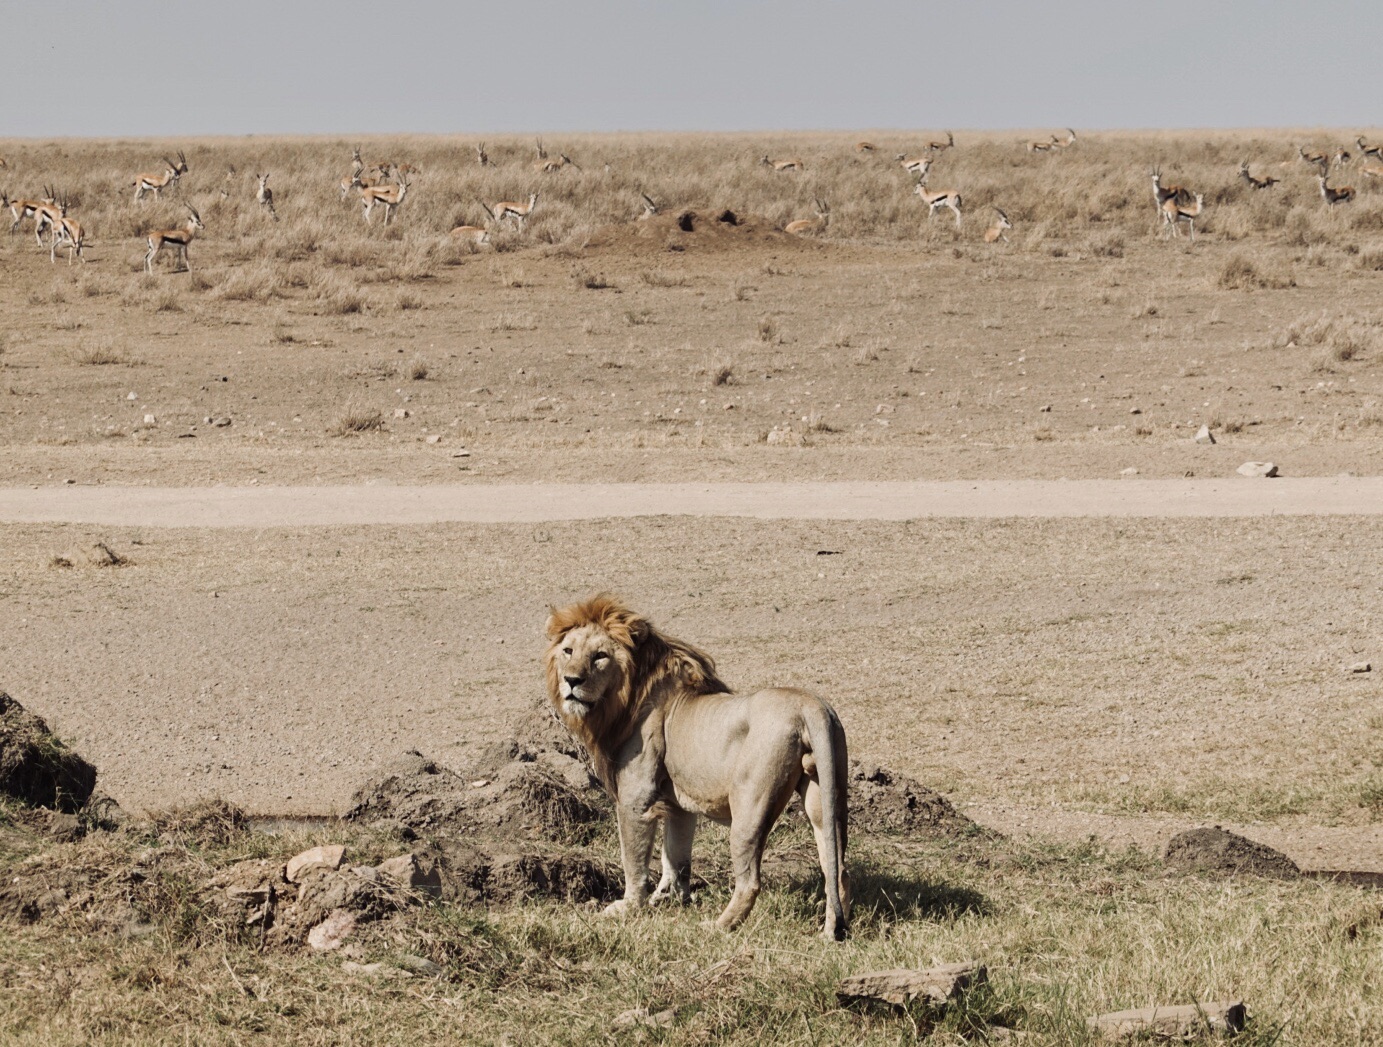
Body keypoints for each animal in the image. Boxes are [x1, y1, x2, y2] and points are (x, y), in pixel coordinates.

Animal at [542, 597, 846, 940]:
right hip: (826, 796)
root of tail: (810, 706)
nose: (571, 680)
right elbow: (676, 854)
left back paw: (717, 927)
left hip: (749, 807)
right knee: (837, 869)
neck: (624, 697)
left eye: (600, 656)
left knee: (750, 881)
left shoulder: (636, 797)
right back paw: (830, 933)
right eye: (568, 651)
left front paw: (628, 907)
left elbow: (633, 858)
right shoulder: (678, 802)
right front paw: (671, 898)